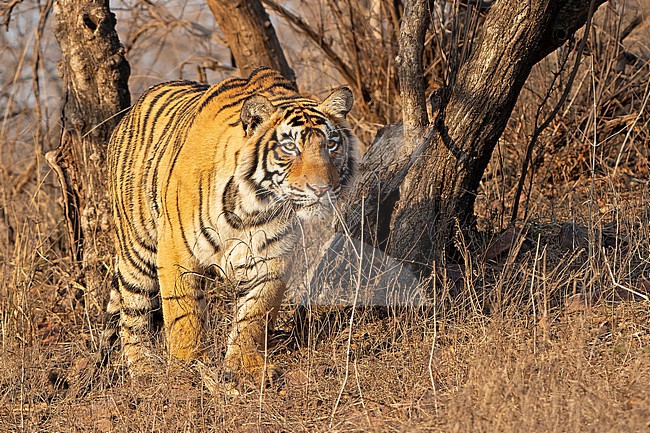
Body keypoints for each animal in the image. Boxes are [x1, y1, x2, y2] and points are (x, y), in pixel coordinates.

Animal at [102, 67, 359, 385]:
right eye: (290, 147)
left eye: (331, 145)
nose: (322, 188)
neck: (253, 208)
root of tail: (130, 112)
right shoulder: (176, 252)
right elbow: (184, 314)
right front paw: (186, 367)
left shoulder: (272, 259)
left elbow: (255, 315)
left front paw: (246, 366)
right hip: (137, 250)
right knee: (132, 315)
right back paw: (144, 369)